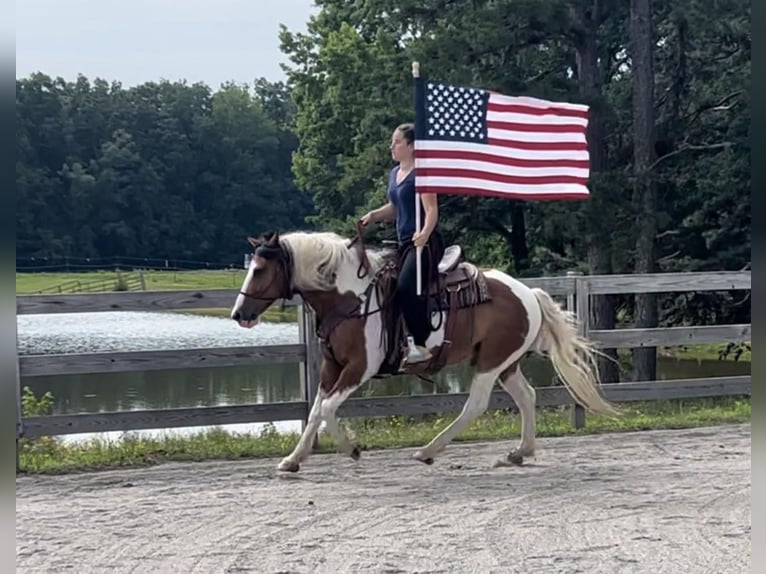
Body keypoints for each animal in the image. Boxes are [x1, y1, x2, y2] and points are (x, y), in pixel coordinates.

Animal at [232, 227, 616, 474]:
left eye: (260, 269)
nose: (238, 314)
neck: (349, 298)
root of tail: (528, 293)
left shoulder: (359, 367)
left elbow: (326, 409)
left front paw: (352, 448)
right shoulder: (331, 367)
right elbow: (315, 411)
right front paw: (293, 460)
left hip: (491, 363)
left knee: (476, 405)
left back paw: (429, 450)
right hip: (505, 363)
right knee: (527, 396)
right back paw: (519, 453)